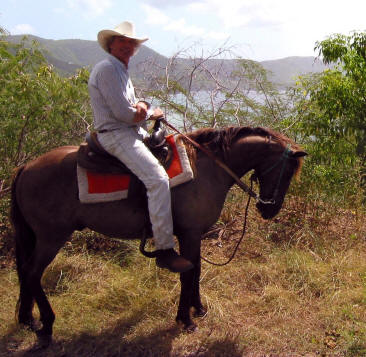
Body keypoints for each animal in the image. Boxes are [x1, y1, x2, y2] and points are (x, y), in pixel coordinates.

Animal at [9, 125, 306, 344]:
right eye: (287, 172)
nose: (269, 209)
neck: (207, 168)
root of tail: (26, 167)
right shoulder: (189, 234)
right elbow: (188, 273)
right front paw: (185, 319)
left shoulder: (193, 235)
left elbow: (196, 270)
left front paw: (198, 309)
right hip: (51, 237)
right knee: (33, 273)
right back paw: (47, 324)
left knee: (25, 272)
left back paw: (28, 318)